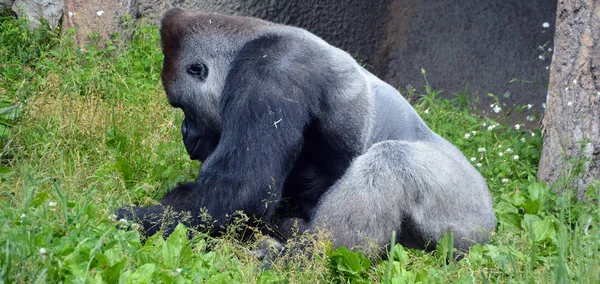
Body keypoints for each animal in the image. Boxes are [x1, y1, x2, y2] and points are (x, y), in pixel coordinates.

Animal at [115, 7, 494, 256]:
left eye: (180, 106)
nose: (185, 132)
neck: (253, 37)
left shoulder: (271, 69)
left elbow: (241, 192)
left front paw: (127, 220)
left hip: (466, 214)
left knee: (391, 161)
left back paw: (303, 257)